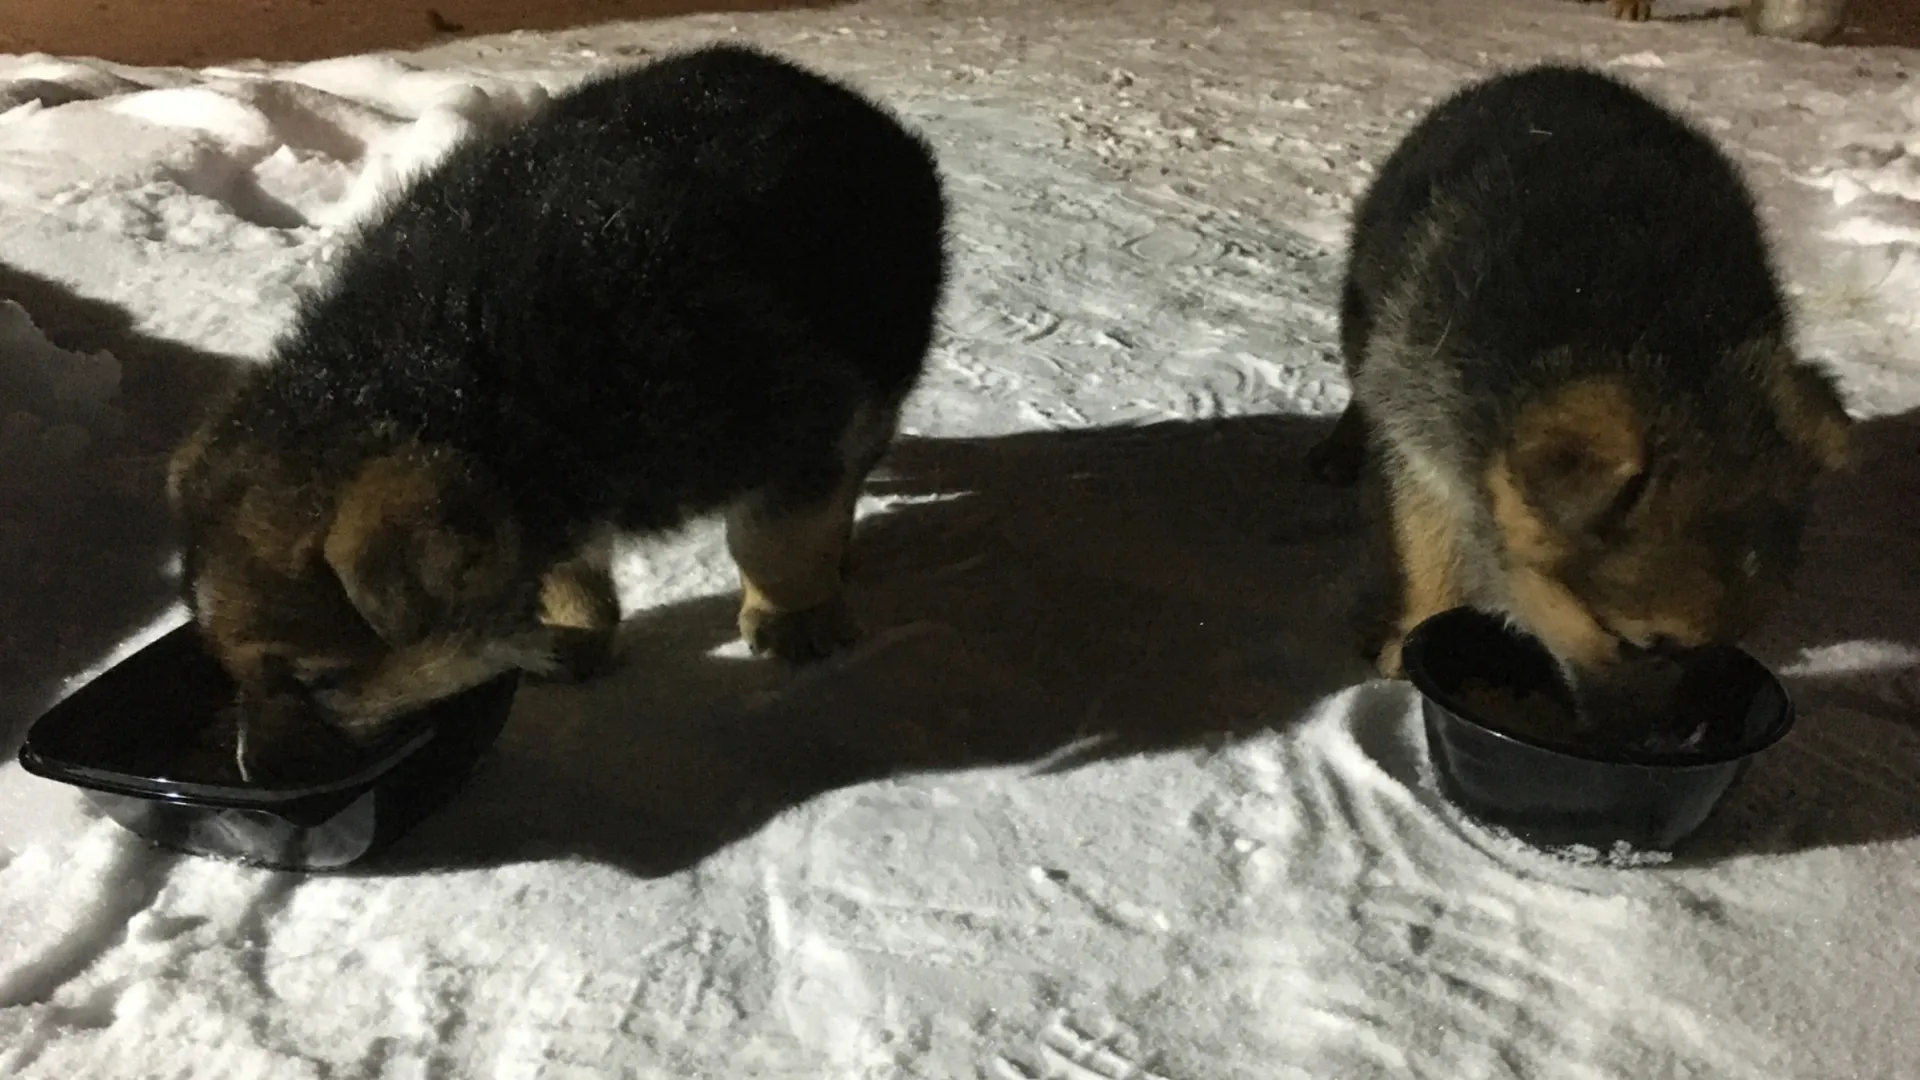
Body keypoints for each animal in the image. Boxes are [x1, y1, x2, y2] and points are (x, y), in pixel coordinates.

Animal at [168, 42, 948, 772]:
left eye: (322, 681)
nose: (251, 769)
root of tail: (834, 96)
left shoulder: (793, 419)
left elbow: (770, 536)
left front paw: (793, 616)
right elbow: (568, 568)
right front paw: (567, 634)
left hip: (885, 342)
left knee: (859, 454)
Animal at [1305, 65, 1843, 687]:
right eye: (1634, 644)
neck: (1650, 338)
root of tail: (1556, 72)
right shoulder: (1424, 431)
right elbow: (1428, 540)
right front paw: (1411, 637)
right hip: (1368, 307)